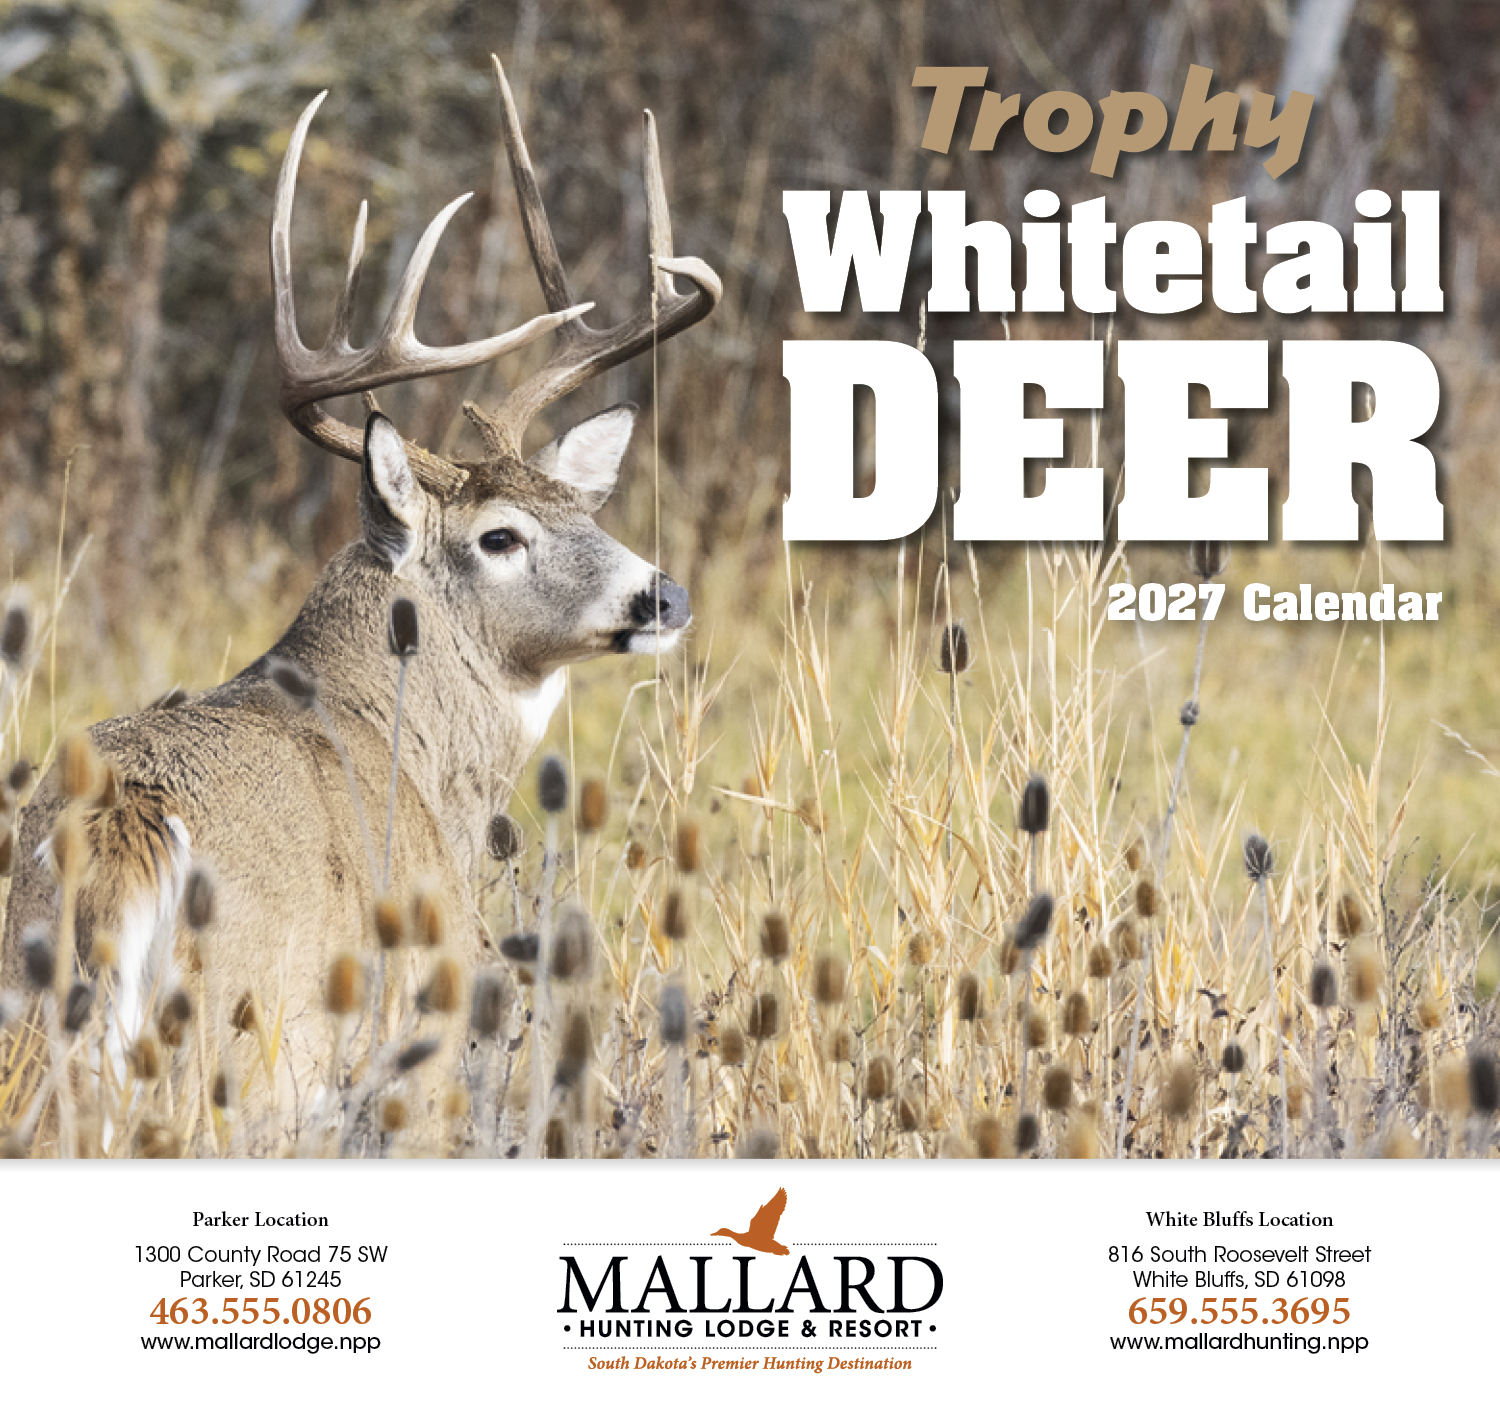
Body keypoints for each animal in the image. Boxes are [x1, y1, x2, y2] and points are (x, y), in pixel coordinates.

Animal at [0, 56, 721, 1153]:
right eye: (499, 535)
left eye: (576, 506)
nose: (662, 594)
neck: (412, 751)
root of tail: (129, 821)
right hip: (243, 1053)